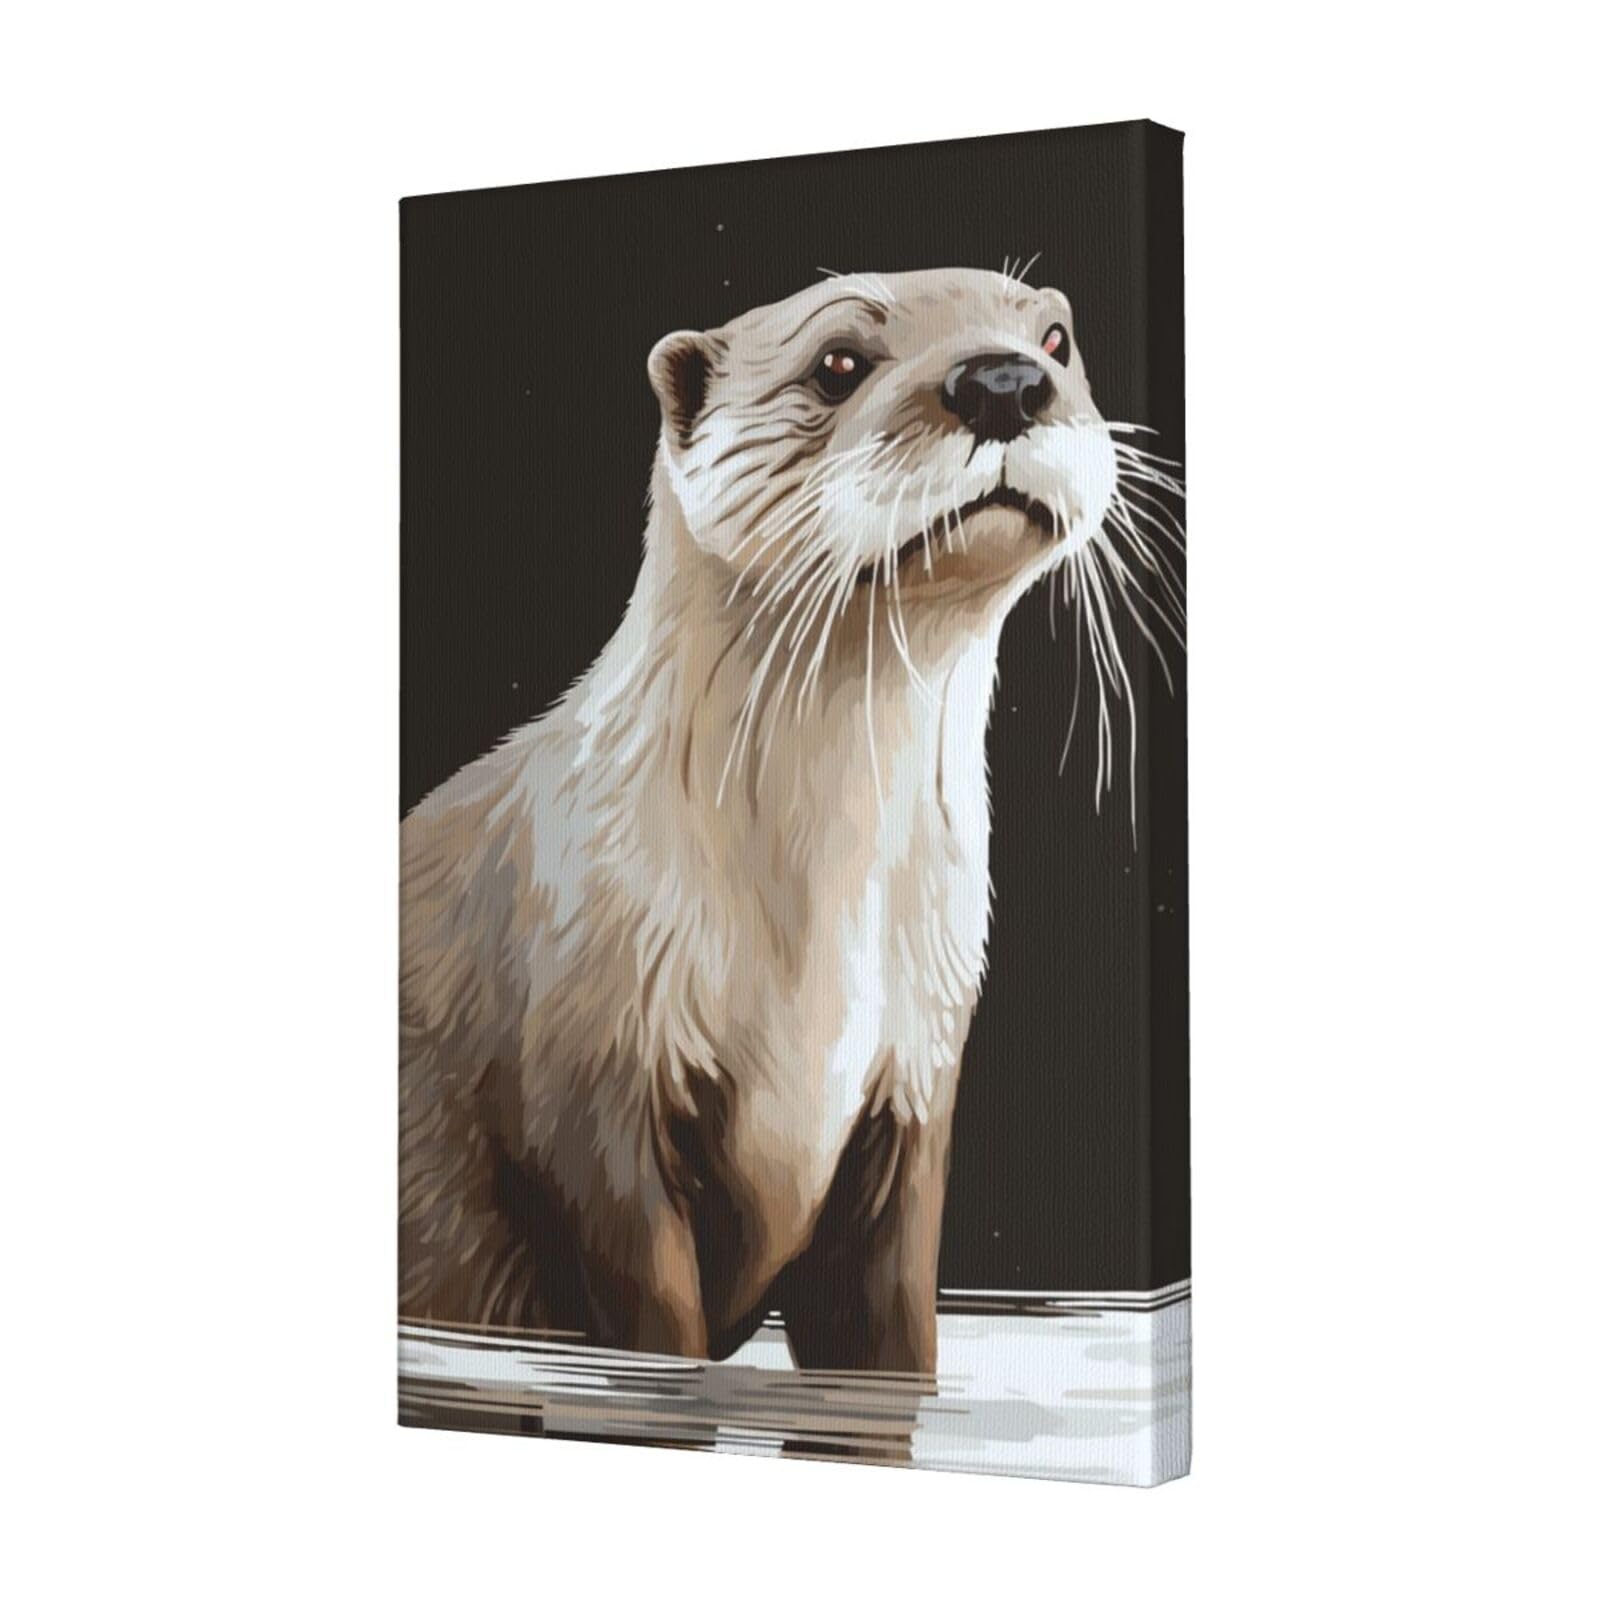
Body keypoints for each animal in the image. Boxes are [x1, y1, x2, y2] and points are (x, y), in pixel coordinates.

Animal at [400, 267, 1179, 1371]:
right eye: (839, 361)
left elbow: (887, 1330)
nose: (1003, 380)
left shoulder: (914, 1089)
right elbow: (651, 1320)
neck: (812, 941)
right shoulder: (590, 1085)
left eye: (1057, 339)